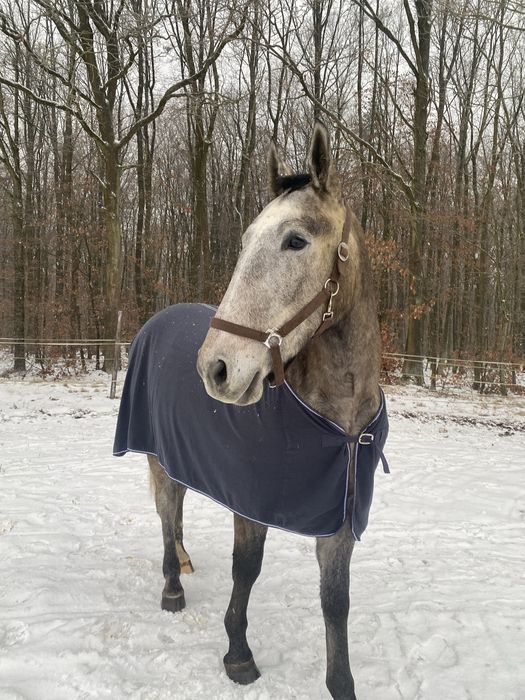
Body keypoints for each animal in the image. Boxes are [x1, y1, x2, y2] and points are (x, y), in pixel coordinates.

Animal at [114, 122, 388, 700]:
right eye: (244, 242)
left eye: (296, 240)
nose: (216, 368)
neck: (339, 424)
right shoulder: (252, 505)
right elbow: (247, 569)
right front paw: (238, 653)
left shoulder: (339, 522)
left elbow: (336, 601)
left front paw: (341, 683)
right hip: (159, 457)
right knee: (167, 511)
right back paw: (172, 586)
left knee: (174, 512)